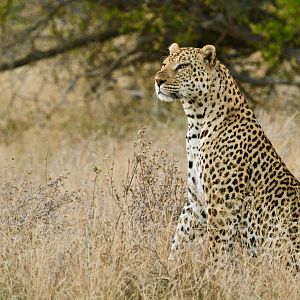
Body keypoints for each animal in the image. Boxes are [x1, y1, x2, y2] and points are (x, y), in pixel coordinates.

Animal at [155, 41, 300, 268]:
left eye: (183, 66)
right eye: (164, 64)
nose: (157, 80)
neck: (196, 121)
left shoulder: (222, 204)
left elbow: (217, 249)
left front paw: (213, 275)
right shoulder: (196, 202)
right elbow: (179, 238)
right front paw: (169, 268)